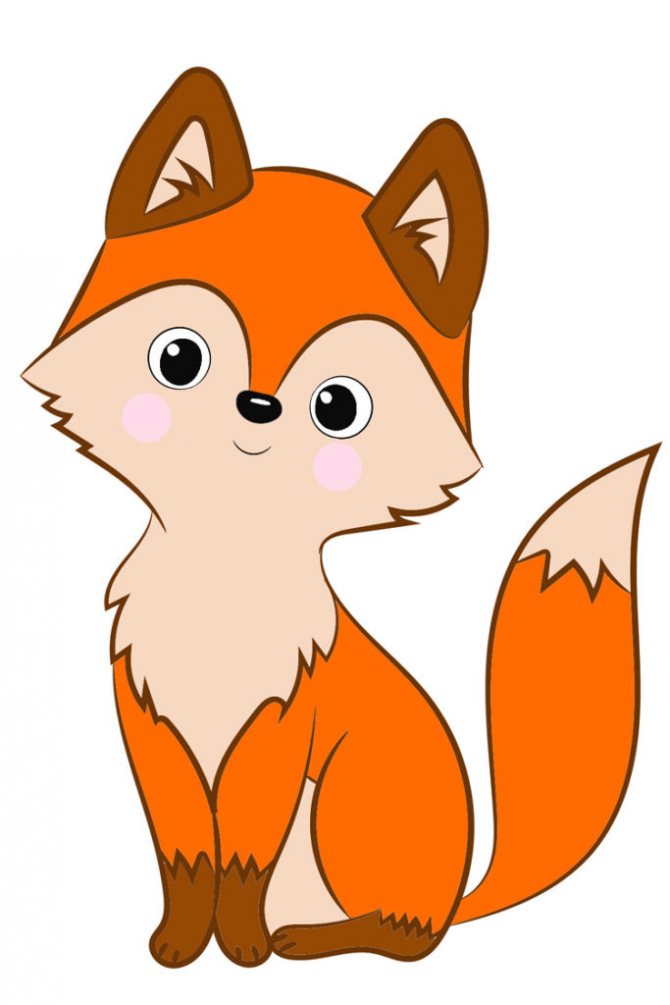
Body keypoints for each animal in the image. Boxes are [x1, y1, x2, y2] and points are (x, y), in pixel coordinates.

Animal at [23, 67, 656, 968]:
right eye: (179, 358)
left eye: (338, 405)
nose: (257, 406)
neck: (223, 577)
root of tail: (459, 890)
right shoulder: (149, 723)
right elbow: (185, 852)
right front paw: (180, 943)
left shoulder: (281, 728)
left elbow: (241, 856)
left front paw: (239, 946)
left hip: (348, 795)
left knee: (403, 937)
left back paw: (310, 939)